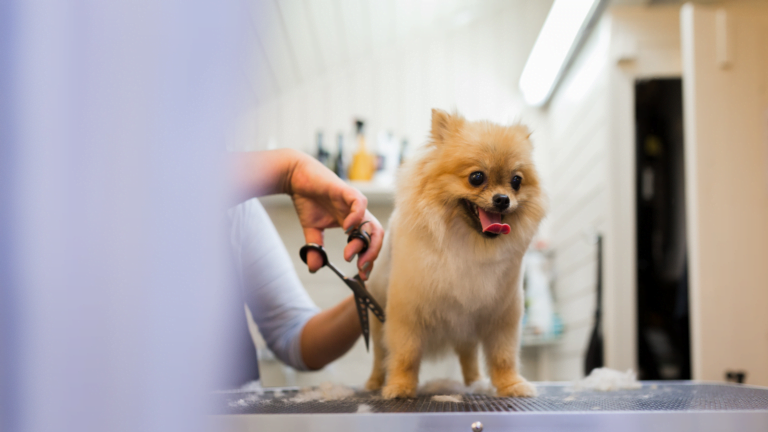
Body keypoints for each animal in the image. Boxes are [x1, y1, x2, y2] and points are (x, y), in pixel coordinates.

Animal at [364, 109, 544, 400]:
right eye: (476, 177)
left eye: (516, 181)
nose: (503, 199)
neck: (468, 245)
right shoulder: (406, 313)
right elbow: (405, 353)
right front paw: (400, 386)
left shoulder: (502, 314)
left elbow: (503, 355)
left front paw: (511, 385)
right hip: (378, 316)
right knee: (380, 355)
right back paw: (375, 381)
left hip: (466, 330)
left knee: (468, 355)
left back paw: (475, 381)